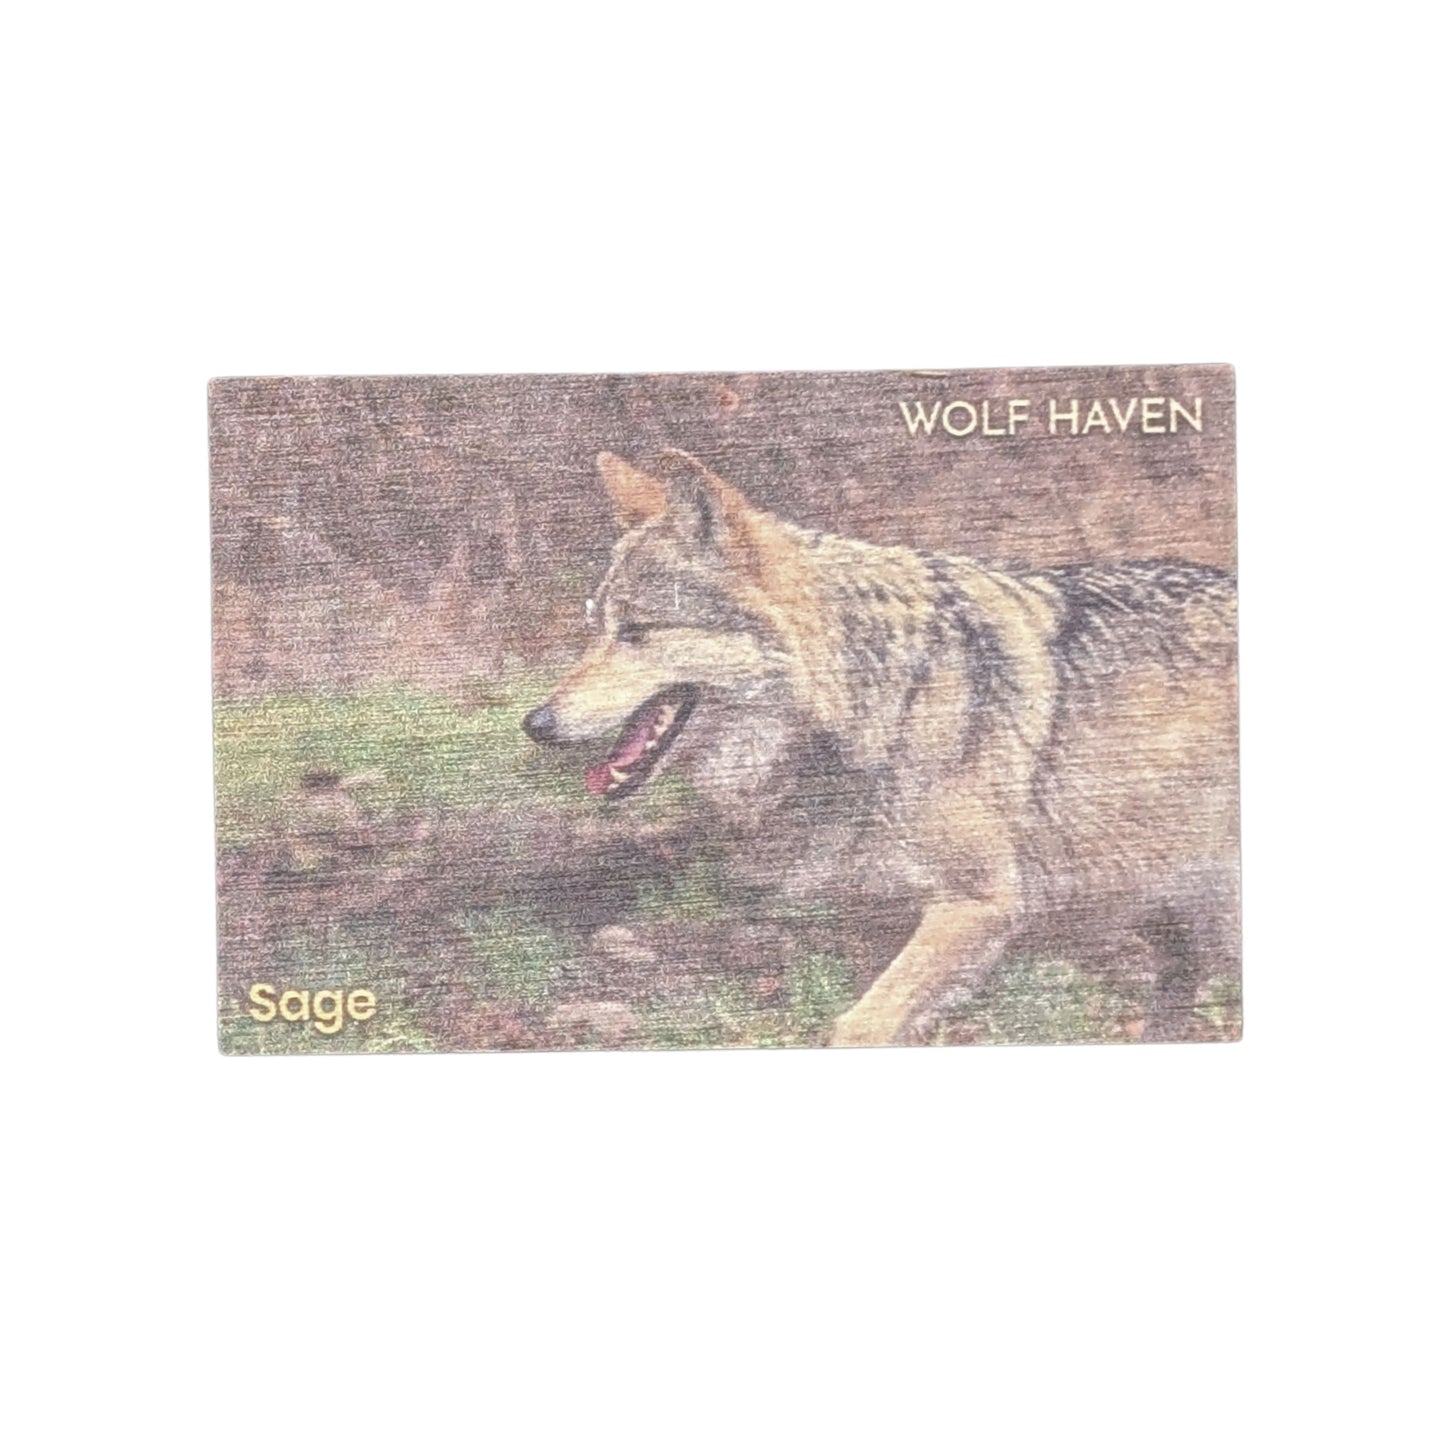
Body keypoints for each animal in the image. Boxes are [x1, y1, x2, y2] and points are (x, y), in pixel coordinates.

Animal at [522, 449, 1240, 1047]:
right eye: (594, 629)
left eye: (636, 631)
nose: (535, 721)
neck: (879, 697)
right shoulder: (879, 928)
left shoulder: (975, 906)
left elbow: (855, 1028)